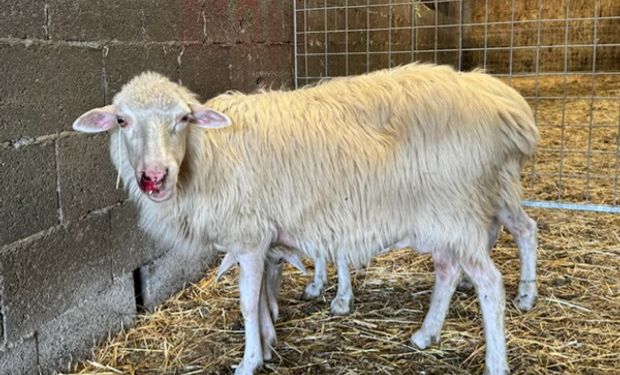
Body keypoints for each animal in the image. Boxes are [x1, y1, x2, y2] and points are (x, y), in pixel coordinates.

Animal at [71, 63, 536, 374]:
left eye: (183, 118)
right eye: (121, 120)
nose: (154, 177)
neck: (208, 156)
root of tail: (504, 105)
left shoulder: (250, 235)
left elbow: (247, 300)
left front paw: (250, 361)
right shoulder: (262, 238)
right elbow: (262, 293)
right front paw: (268, 341)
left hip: (458, 206)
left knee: (491, 279)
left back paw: (500, 350)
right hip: (445, 213)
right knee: (449, 268)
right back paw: (426, 334)